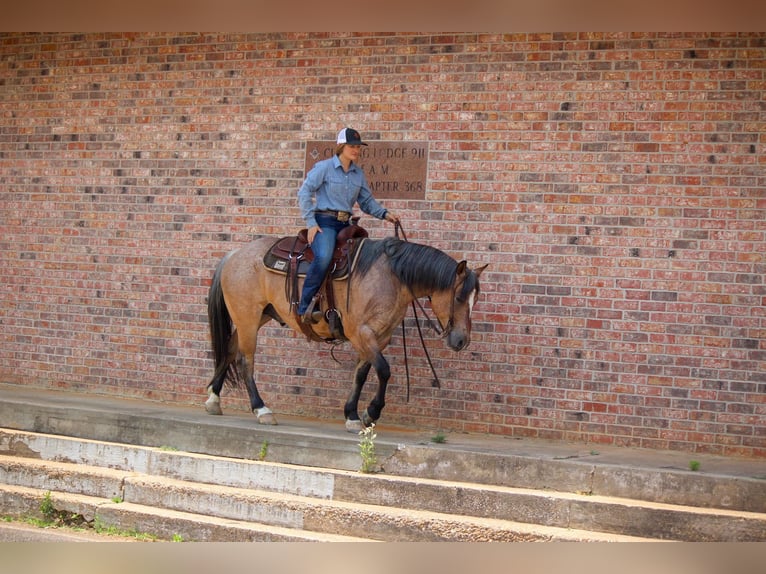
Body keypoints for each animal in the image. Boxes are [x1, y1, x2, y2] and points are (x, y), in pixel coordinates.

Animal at [206, 232, 486, 434]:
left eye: (475, 299)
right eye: (459, 297)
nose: (462, 340)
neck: (392, 277)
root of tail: (234, 254)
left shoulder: (377, 338)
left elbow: (361, 374)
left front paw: (352, 414)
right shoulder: (361, 332)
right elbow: (384, 370)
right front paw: (371, 413)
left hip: (257, 316)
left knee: (229, 350)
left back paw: (214, 399)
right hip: (248, 317)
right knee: (245, 360)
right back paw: (261, 409)